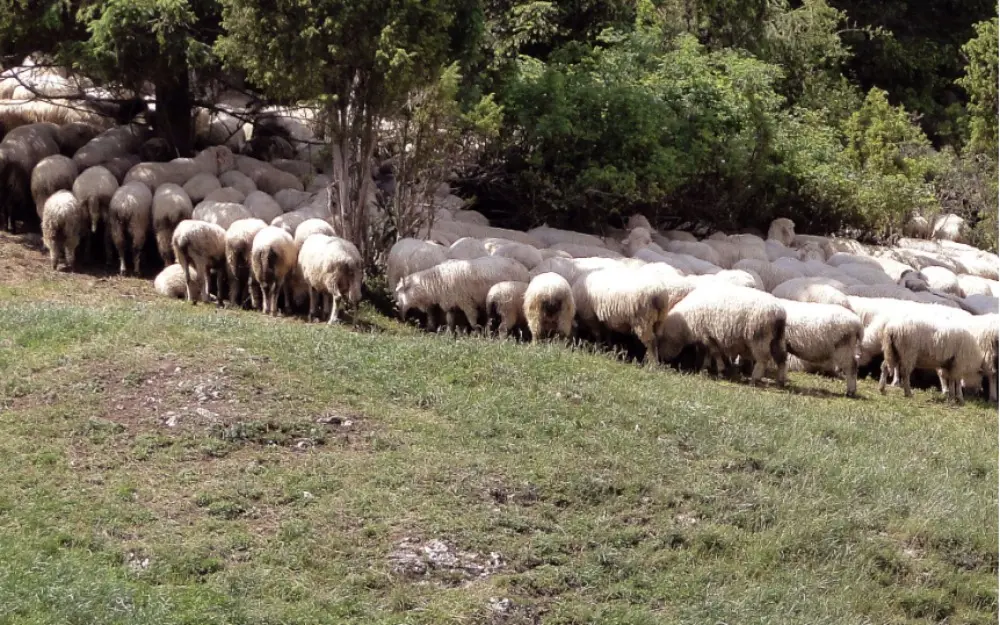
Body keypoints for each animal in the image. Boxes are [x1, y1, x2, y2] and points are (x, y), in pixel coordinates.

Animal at [394, 255, 532, 332]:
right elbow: (450, 322)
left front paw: (476, 332)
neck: (435, 282)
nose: (397, 306)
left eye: (401, 290)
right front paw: (449, 335)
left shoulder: (467, 303)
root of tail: (524, 269)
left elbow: (472, 320)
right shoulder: (451, 305)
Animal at [660, 282, 792, 380]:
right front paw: (705, 367)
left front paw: (720, 370)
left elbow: (714, 352)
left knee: (763, 359)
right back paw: (781, 380)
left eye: (662, 340)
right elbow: (707, 353)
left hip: (759, 336)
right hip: (777, 337)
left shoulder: (706, 335)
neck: (685, 324)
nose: (663, 361)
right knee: (781, 357)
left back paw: (755, 378)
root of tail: (779, 312)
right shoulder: (705, 336)